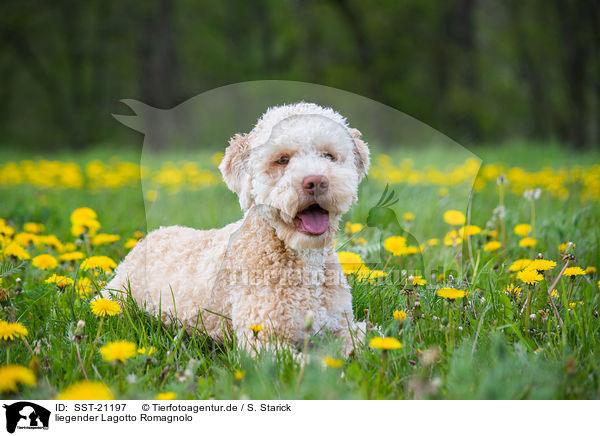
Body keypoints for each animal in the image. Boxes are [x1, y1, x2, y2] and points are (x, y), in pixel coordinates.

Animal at [103, 102, 370, 354]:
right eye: (282, 159)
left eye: (329, 156)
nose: (316, 182)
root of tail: (151, 235)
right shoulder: (263, 341)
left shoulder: (343, 326)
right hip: (118, 298)